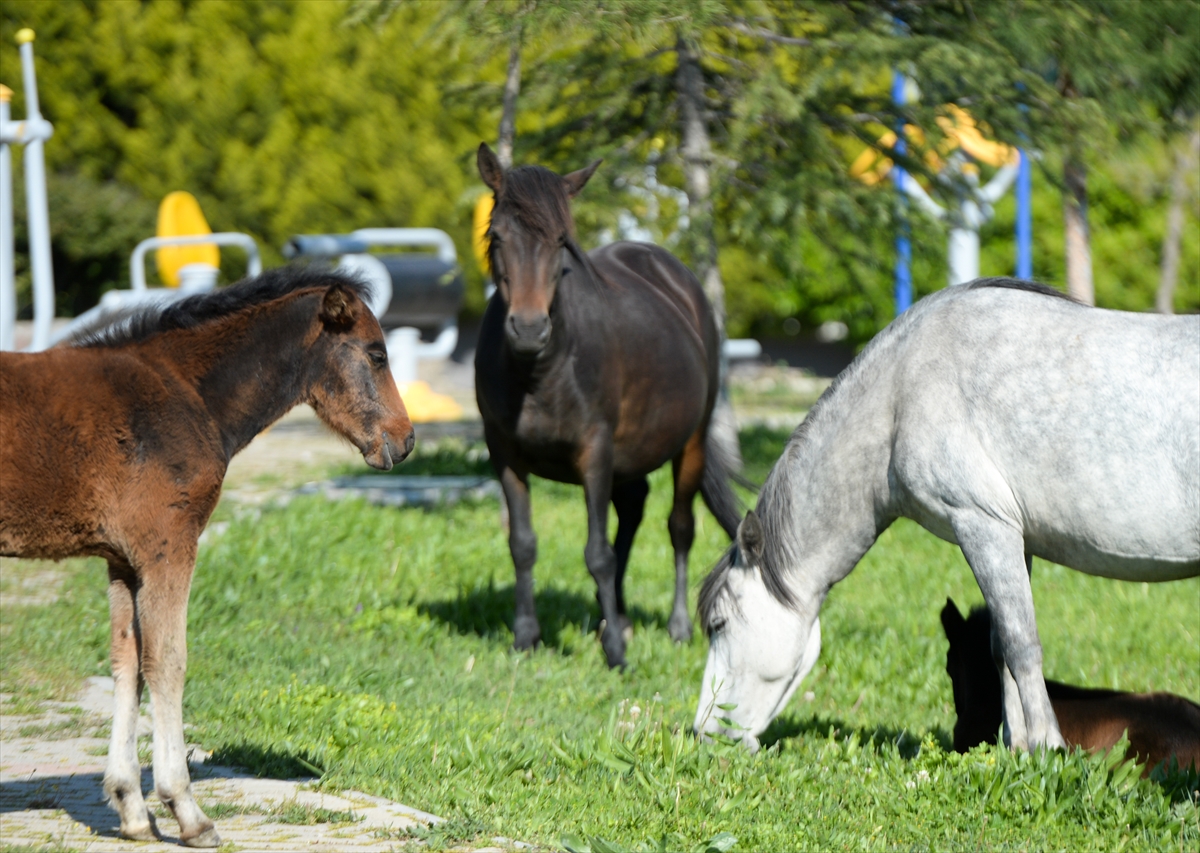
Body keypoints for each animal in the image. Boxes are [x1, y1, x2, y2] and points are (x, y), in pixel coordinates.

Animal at [0, 266, 415, 849]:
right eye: (376, 354)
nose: (405, 440)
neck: (188, 394)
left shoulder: (123, 560)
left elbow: (127, 663)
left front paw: (131, 808)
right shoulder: (168, 545)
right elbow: (168, 661)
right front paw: (187, 810)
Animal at [475, 143, 739, 671]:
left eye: (561, 240)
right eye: (497, 235)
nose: (529, 329)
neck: (539, 373)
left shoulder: (594, 451)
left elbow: (598, 552)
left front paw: (616, 653)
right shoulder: (504, 454)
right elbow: (522, 544)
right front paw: (526, 637)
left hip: (691, 442)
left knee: (679, 527)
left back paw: (675, 627)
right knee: (633, 509)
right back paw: (613, 612)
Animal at [696, 280, 1200, 753]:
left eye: (718, 624)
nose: (704, 732)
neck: (901, 392)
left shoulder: (982, 525)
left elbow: (1020, 643)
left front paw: (1046, 748)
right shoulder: (1015, 538)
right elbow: (1000, 646)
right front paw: (1015, 748)